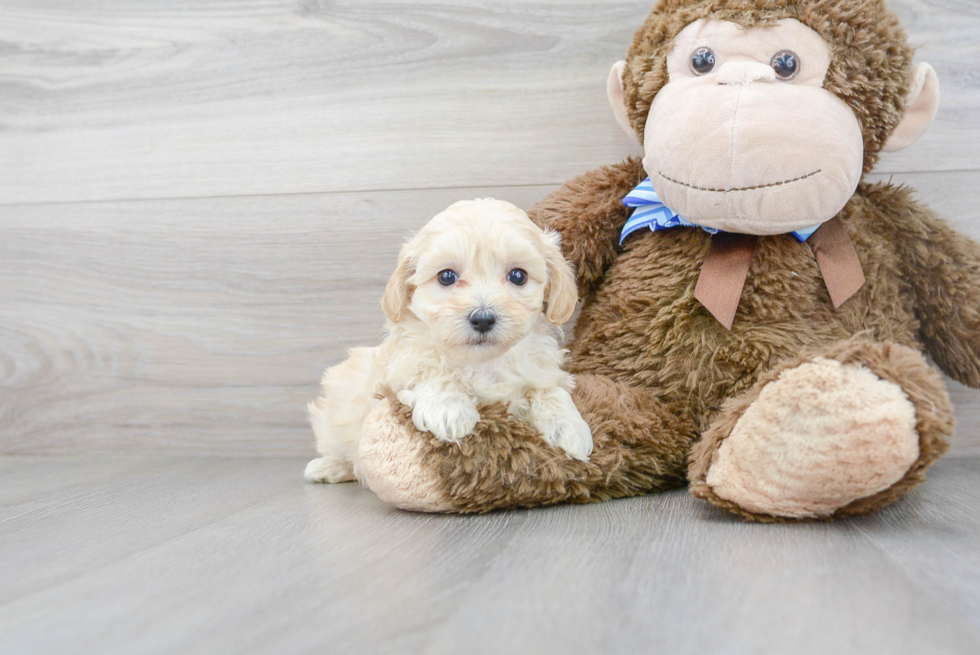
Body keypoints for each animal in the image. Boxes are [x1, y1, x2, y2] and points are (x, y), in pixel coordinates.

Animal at [306, 197, 592, 484]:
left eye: (518, 276)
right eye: (446, 276)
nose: (483, 318)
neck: (482, 362)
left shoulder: (540, 368)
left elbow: (548, 388)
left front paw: (569, 427)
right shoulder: (401, 363)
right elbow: (427, 368)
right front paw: (449, 410)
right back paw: (327, 467)